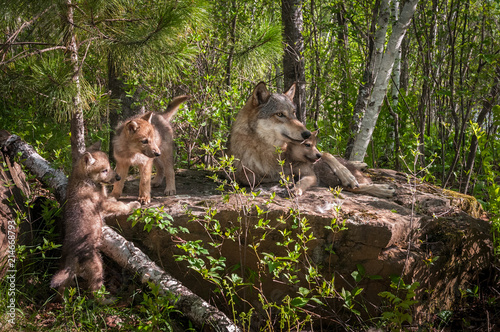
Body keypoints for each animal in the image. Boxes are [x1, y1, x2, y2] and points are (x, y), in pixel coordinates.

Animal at [50, 144, 140, 296]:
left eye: (110, 166)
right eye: (104, 170)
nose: (118, 177)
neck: (84, 179)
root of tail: (72, 257)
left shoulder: (104, 201)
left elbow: (113, 200)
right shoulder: (102, 205)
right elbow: (120, 206)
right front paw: (133, 205)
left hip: (67, 274)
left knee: (62, 288)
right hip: (97, 265)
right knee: (94, 292)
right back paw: (108, 298)